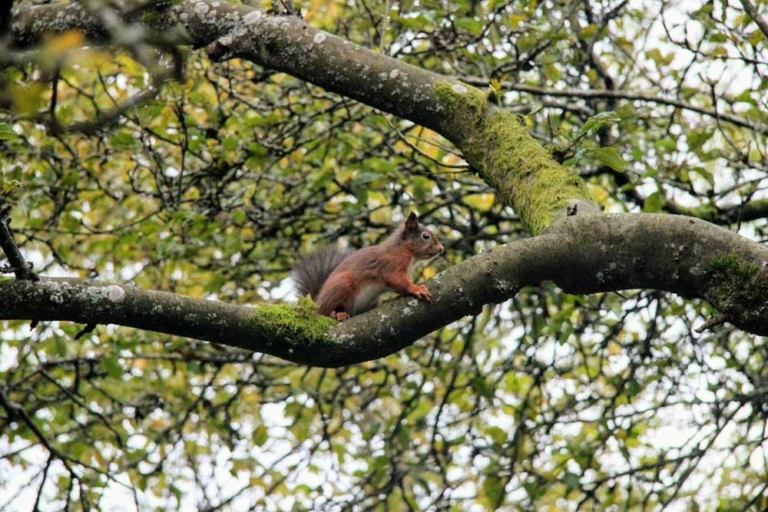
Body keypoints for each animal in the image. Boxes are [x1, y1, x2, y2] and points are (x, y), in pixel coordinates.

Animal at [292, 212, 444, 321]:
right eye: (426, 236)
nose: (441, 249)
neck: (405, 249)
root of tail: (315, 303)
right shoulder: (391, 264)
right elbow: (397, 280)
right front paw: (417, 288)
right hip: (341, 284)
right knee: (326, 311)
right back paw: (337, 314)